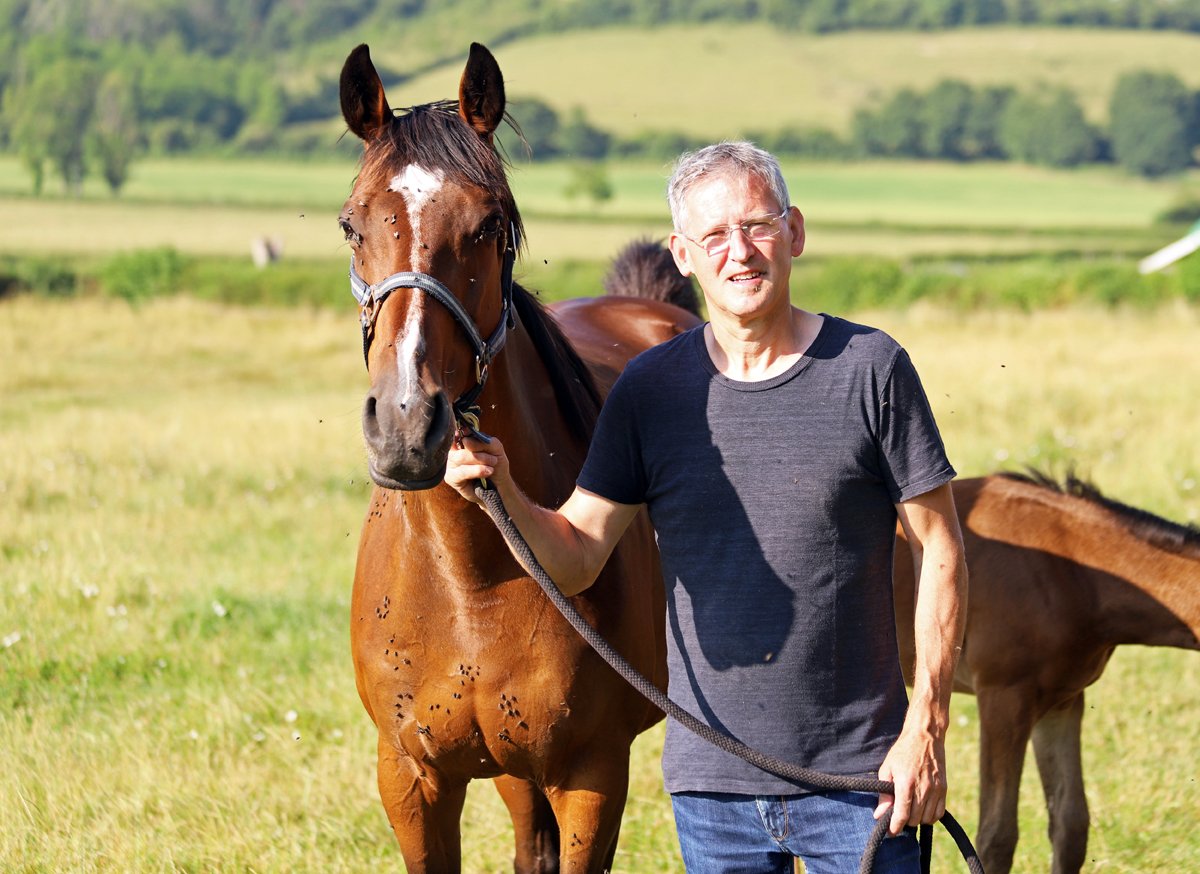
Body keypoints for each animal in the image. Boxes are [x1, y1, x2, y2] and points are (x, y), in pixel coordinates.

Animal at [337, 43, 702, 873]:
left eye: (490, 223)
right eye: (351, 226)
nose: (407, 423)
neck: (470, 581)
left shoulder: (591, 775)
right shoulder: (410, 779)